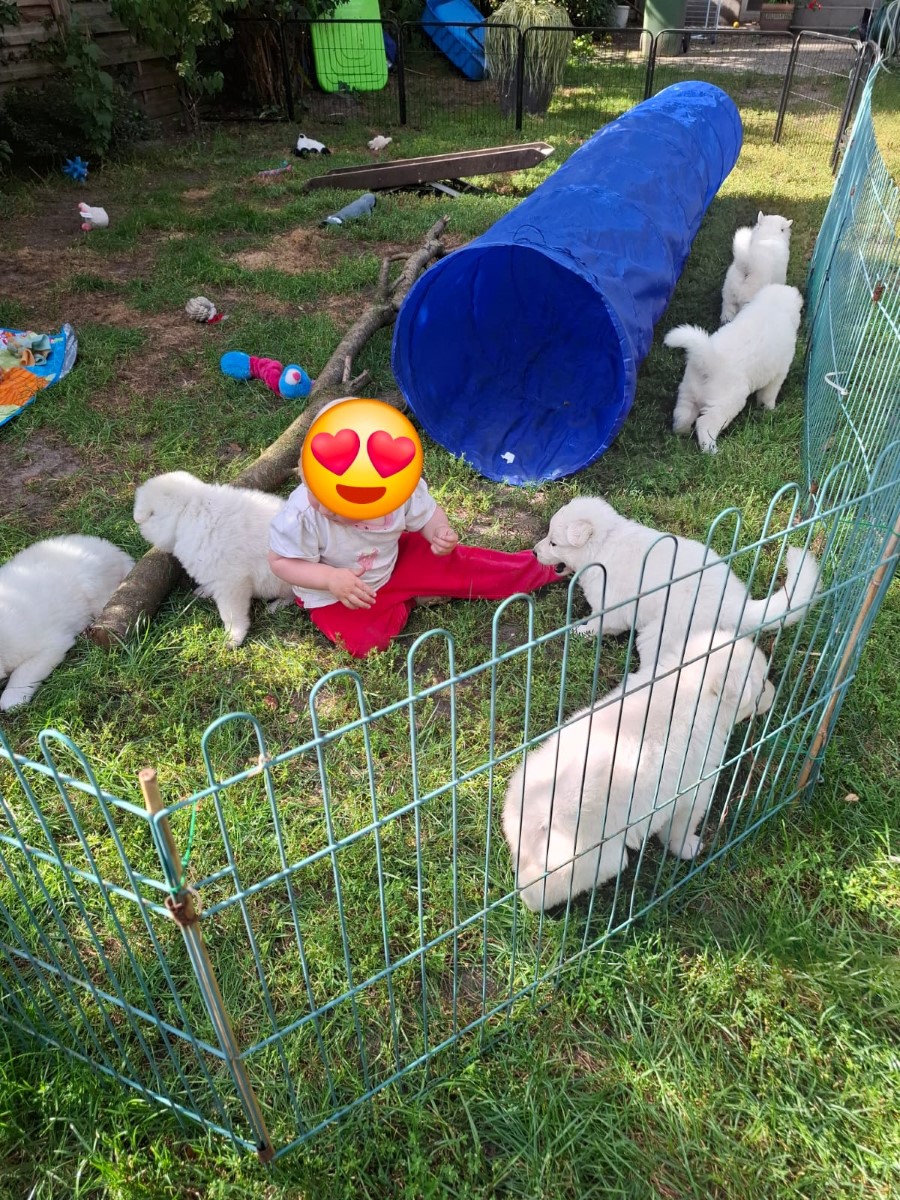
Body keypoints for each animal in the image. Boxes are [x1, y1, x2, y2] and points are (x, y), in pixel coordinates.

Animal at [133, 471, 293, 647]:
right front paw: (205, 590)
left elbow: (231, 614)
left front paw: (233, 638)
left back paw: (277, 605)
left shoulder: (232, 582)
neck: (187, 511)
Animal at [502, 631, 775, 912]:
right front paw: (689, 848)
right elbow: (681, 829)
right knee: (539, 890)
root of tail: (541, 808)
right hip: (595, 860)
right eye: (762, 684)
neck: (690, 686)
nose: (775, 694)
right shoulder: (694, 792)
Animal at [534, 495, 820, 650]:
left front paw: (578, 632)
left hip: (661, 634)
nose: (534, 552)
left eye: (554, 543)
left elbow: (597, 625)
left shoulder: (611, 607)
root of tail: (734, 606)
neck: (603, 545)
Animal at [665, 283, 804, 454]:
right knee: (705, 424)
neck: (772, 306)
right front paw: (770, 410)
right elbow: (768, 395)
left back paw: (681, 434)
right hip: (725, 403)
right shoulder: (778, 373)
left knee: (682, 415)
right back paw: (711, 451)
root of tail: (709, 360)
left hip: (688, 391)